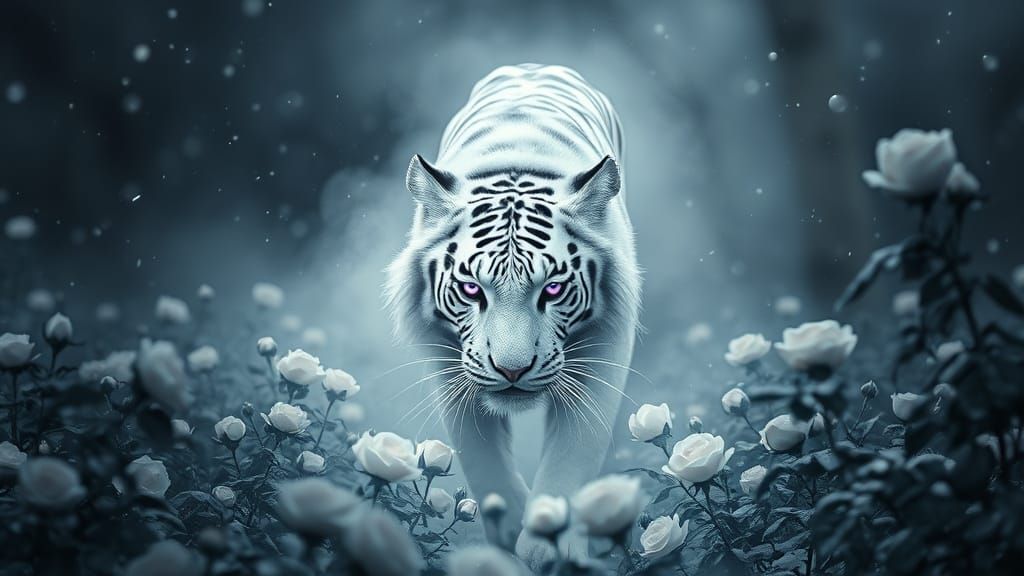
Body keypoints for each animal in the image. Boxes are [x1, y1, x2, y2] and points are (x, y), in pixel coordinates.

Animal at [386, 63, 640, 565]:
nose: (512, 370)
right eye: (471, 288)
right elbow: (483, 459)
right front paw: (508, 528)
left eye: (553, 288)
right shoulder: (449, 364)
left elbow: (572, 456)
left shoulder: (604, 350)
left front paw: (546, 544)